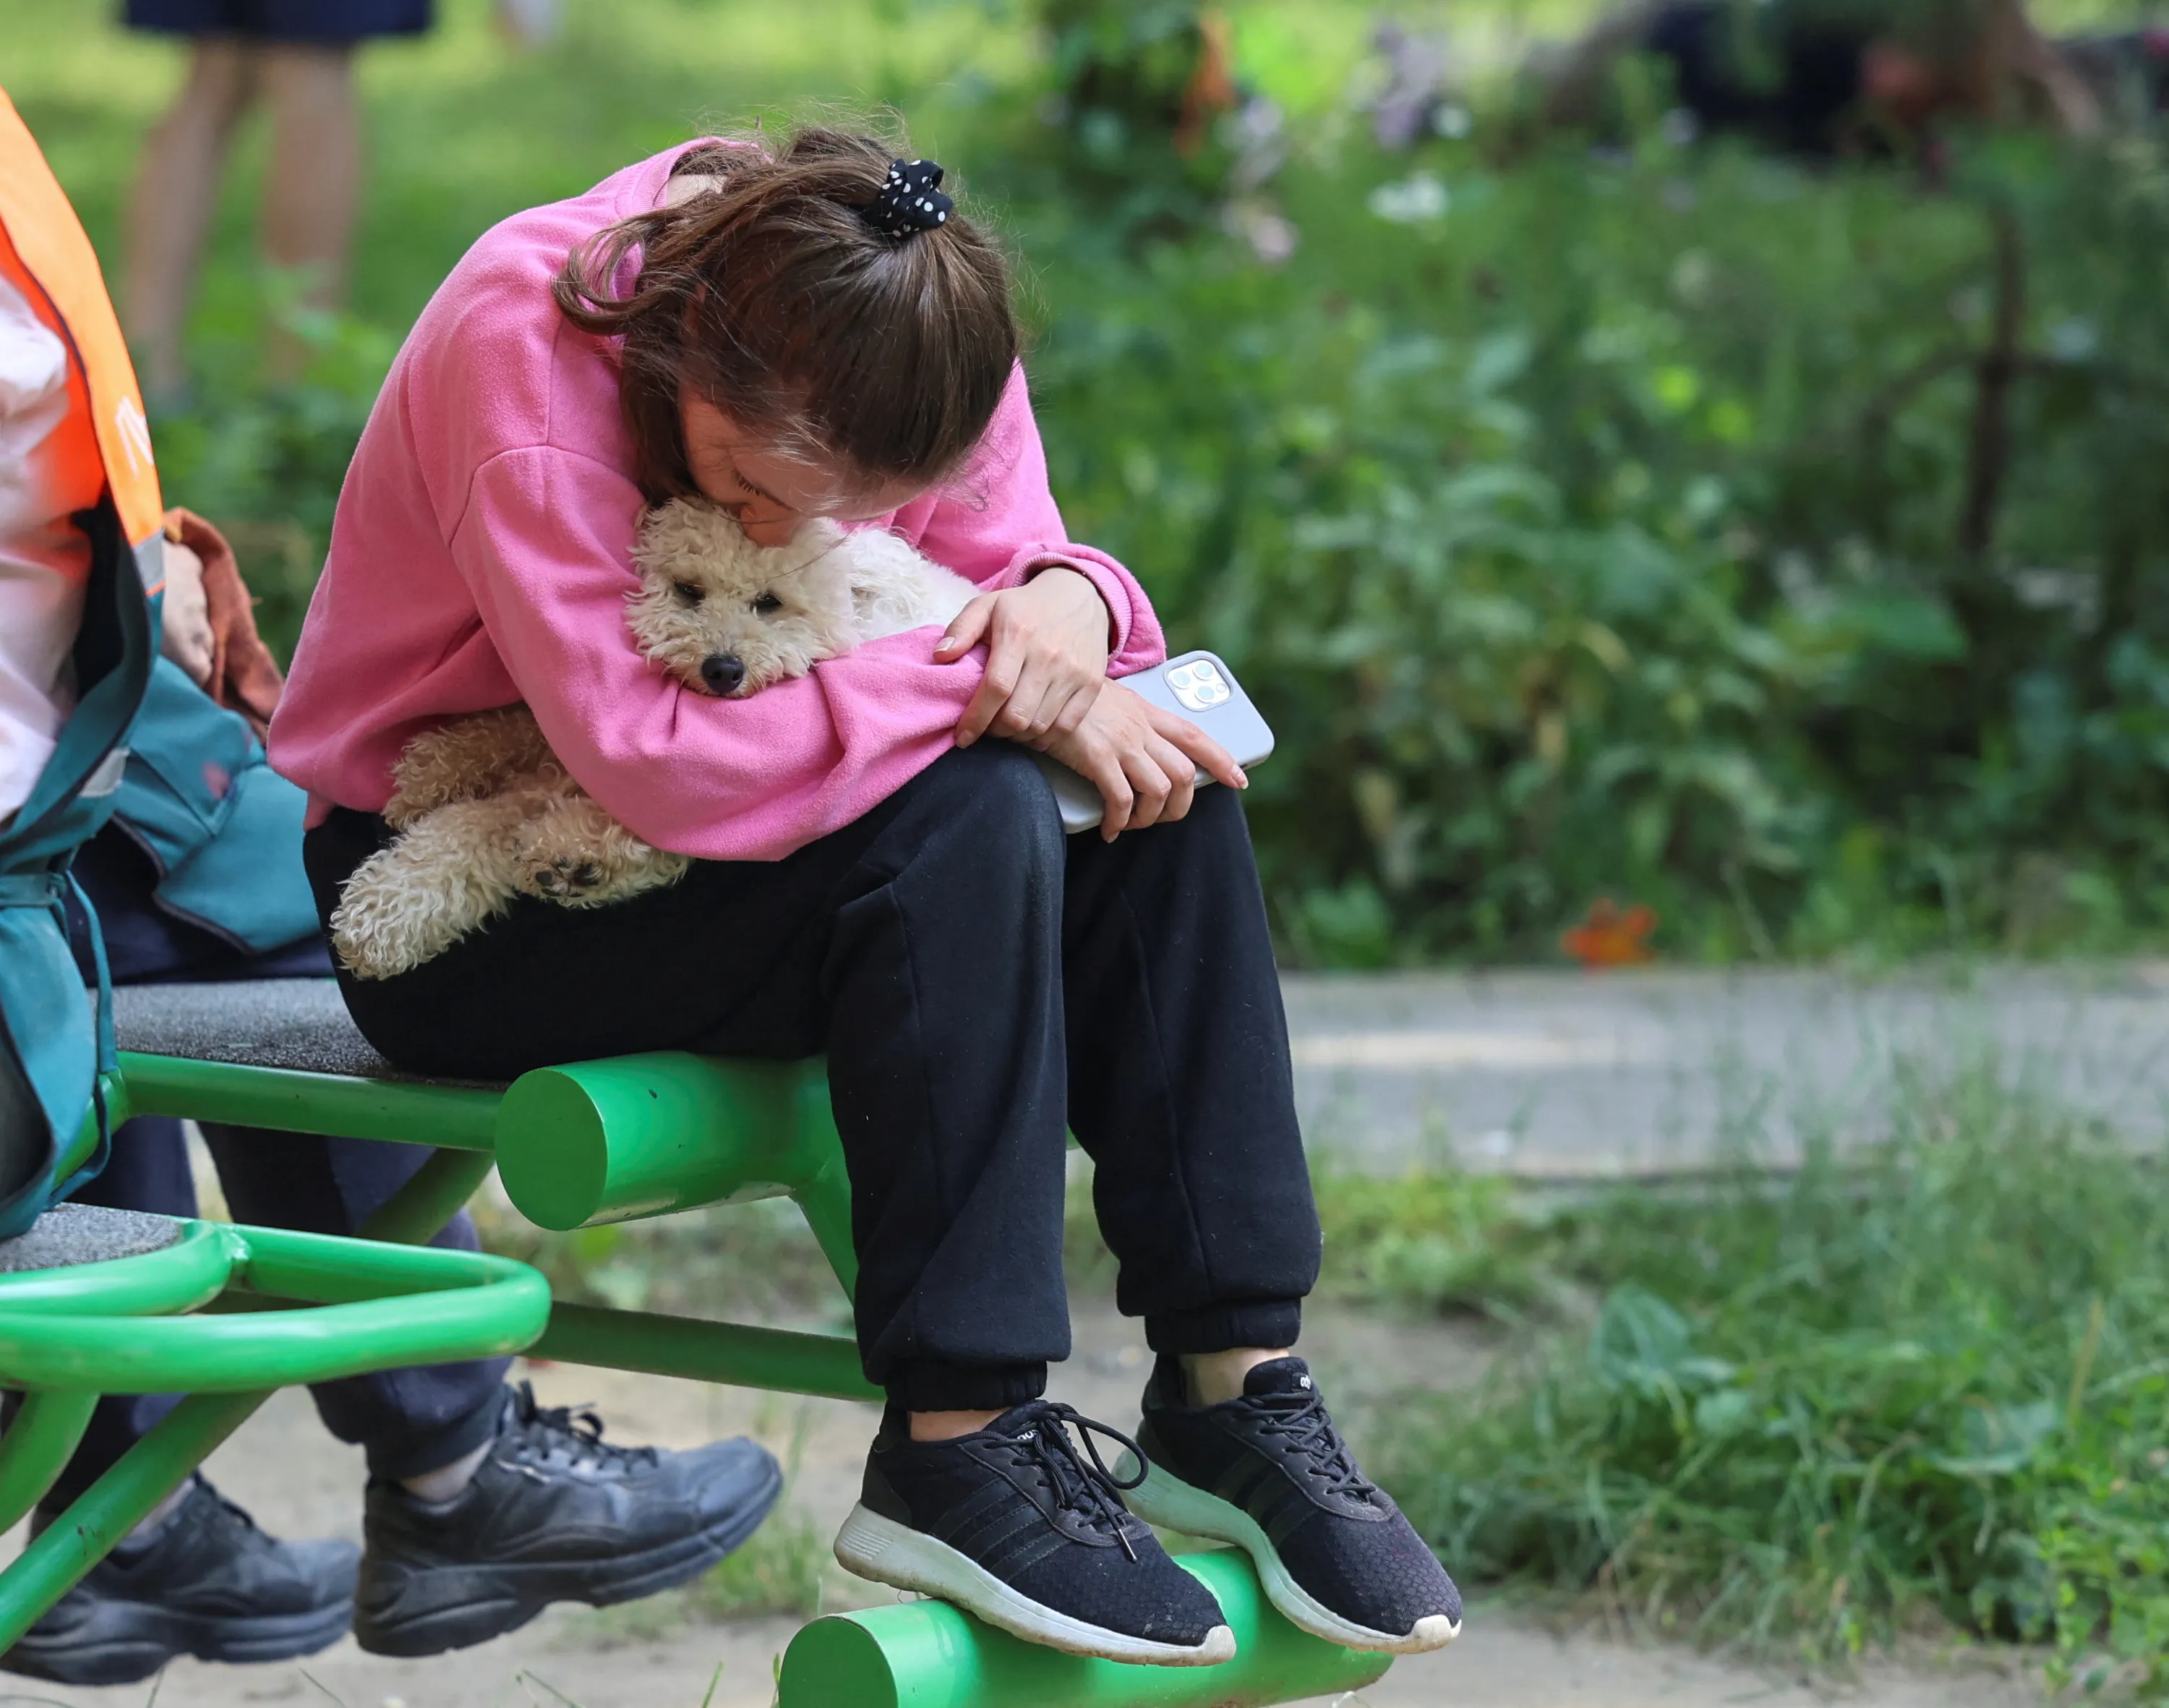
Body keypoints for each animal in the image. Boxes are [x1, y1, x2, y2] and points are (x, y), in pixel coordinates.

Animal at [328, 500, 979, 980]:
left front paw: (578, 858)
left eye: (769, 603)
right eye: (688, 590)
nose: (723, 668)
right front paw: (430, 782)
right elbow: (478, 798)